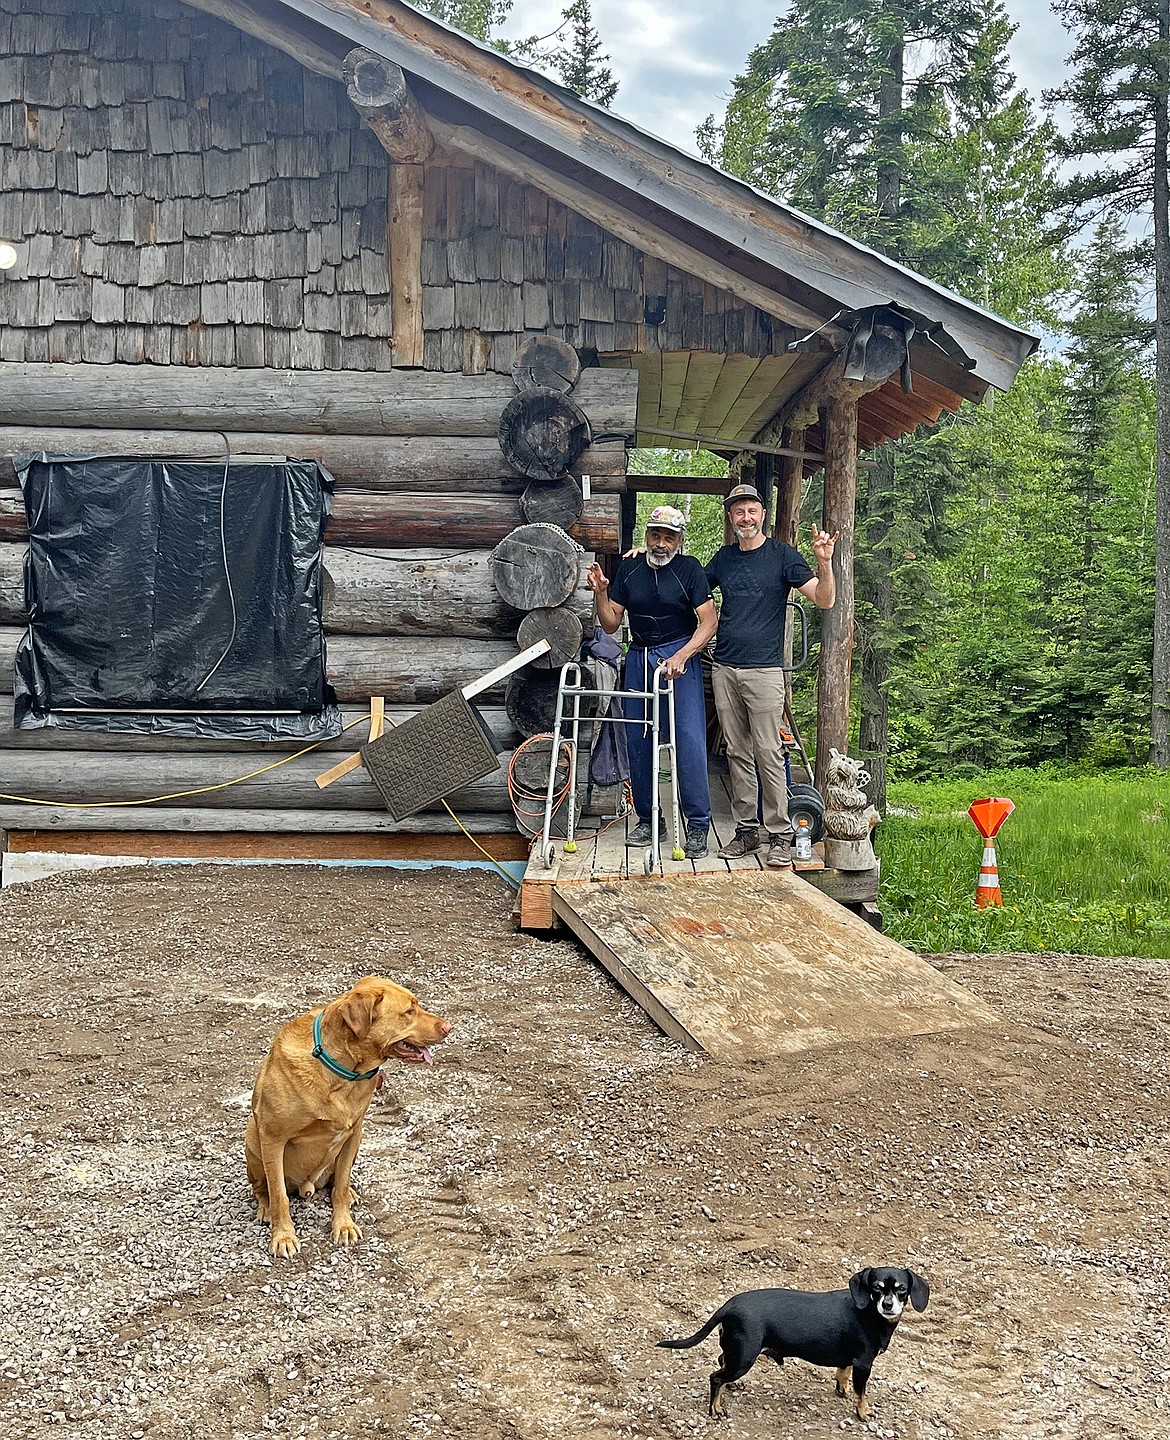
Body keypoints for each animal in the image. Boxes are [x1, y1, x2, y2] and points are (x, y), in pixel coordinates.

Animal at [662, 1267, 927, 1422]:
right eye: (876, 1288)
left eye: (902, 1289)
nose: (888, 1305)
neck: (870, 1313)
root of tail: (728, 1306)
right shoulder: (863, 1364)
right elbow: (861, 1393)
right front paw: (863, 1412)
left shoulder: (850, 1360)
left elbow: (843, 1373)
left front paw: (842, 1388)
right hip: (744, 1357)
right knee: (715, 1378)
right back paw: (715, 1408)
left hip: (737, 1353)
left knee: (721, 1362)